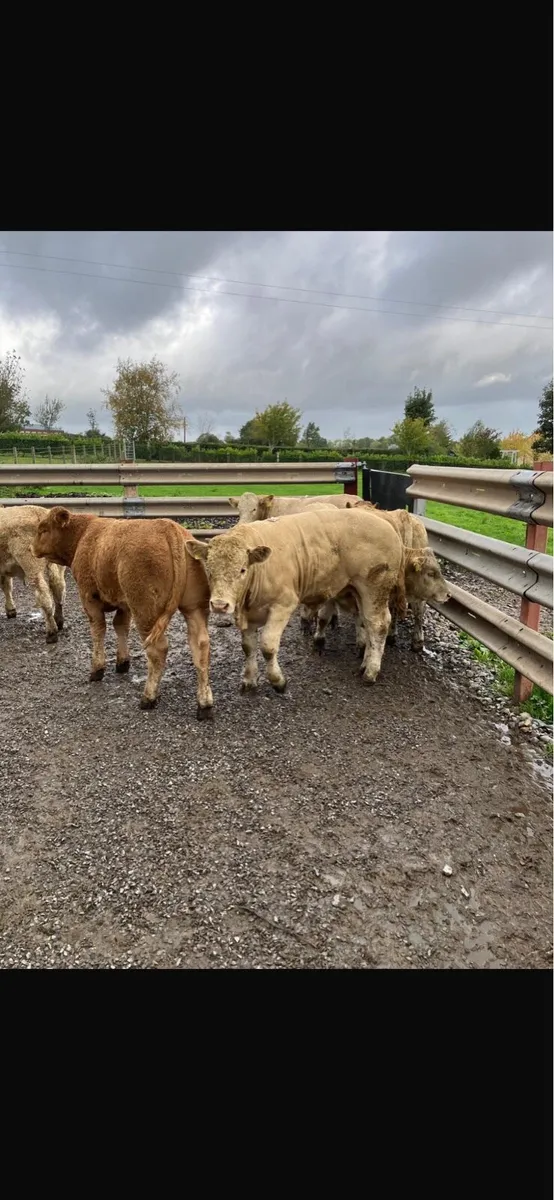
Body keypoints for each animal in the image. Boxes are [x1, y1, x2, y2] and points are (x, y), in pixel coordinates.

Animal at [0, 504, 66, 642]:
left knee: (43, 593)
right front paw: (10, 609)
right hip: (58, 564)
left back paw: (51, 632)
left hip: (31, 564)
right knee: (59, 588)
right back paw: (58, 621)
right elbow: (6, 586)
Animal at [32, 507, 214, 718]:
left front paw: (97, 669)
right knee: (200, 645)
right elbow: (120, 626)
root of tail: (169, 527)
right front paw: (122, 662)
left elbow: (98, 630)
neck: (84, 534)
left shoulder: (89, 597)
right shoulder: (124, 604)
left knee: (158, 649)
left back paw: (148, 697)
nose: (32, 547)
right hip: (194, 607)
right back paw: (204, 704)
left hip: (145, 610)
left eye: (43, 529)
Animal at [185, 506, 405, 691]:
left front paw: (277, 681)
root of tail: (383, 520)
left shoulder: (283, 605)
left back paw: (371, 672)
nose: (220, 605)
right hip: (358, 591)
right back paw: (365, 664)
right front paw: (249, 680)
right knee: (367, 622)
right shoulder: (249, 614)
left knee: (378, 624)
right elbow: (248, 647)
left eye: (242, 570)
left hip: (375, 589)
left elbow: (267, 646)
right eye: (209, 570)